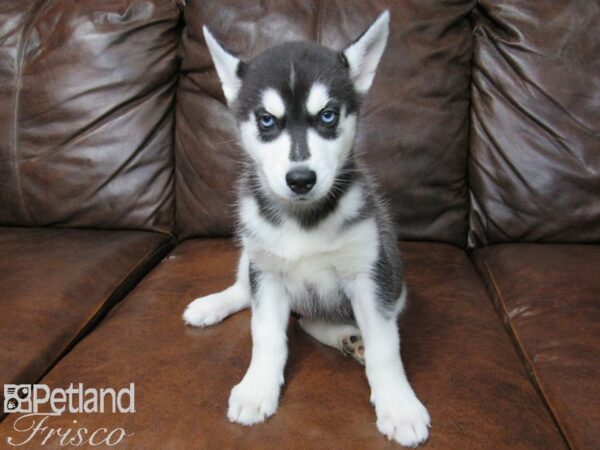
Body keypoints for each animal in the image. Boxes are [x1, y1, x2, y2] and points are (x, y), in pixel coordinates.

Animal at [184, 10, 432, 446]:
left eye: (327, 116)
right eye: (267, 120)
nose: (301, 179)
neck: (304, 221)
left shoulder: (372, 275)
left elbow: (386, 346)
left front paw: (399, 406)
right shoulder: (266, 272)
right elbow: (265, 334)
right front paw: (257, 388)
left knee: (313, 321)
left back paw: (350, 338)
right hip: (250, 256)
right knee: (247, 292)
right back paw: (212, 305)